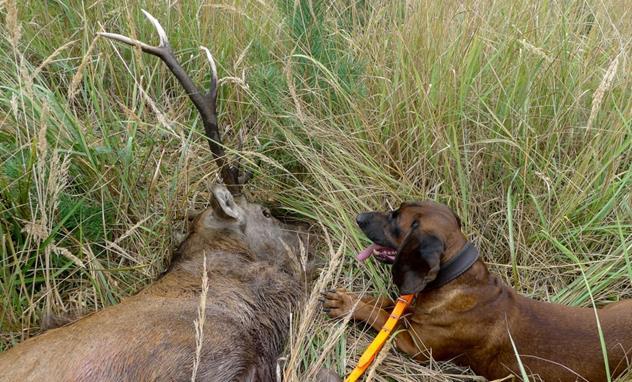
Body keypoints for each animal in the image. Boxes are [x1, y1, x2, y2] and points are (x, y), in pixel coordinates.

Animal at [326, 201, 632, 380]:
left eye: (394, 218)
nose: (359, 217)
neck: (455, 277)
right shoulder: (412, 310)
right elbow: (382, 302)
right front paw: (352, 298)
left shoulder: (414, 345)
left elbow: (381, 317)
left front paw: (348, 306)